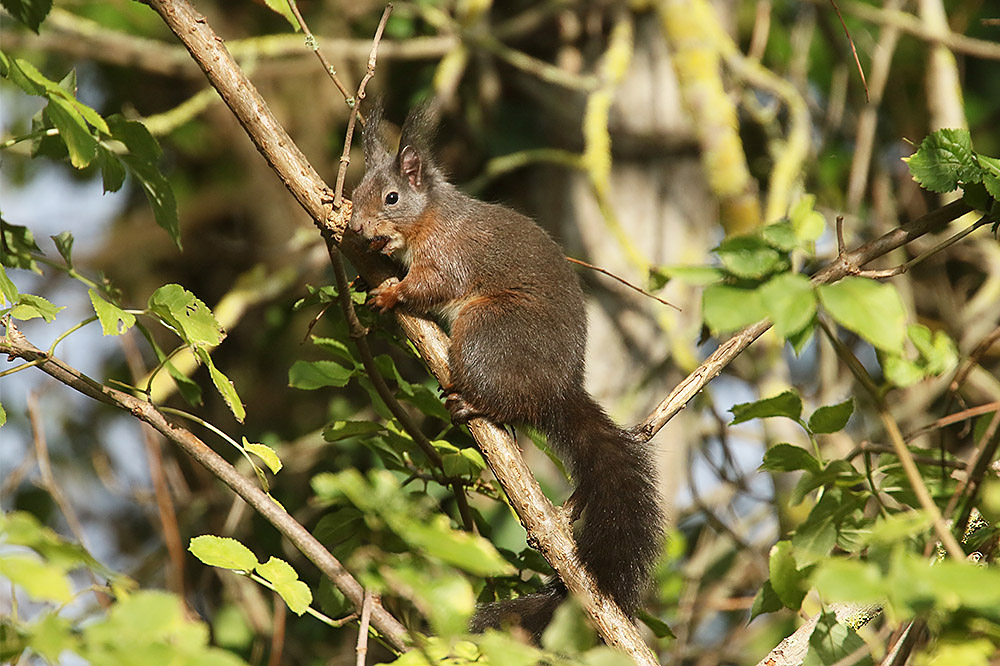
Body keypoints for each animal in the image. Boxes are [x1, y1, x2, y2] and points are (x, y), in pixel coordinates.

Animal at [348, 106, 668, 636]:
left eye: (391, 197)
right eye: (355, 191)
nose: (355, 226)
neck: (431, 219)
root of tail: (557, 390)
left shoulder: (449, 256)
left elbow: (431, 285)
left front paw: (392, 292)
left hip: (488, 330)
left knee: (503, 398)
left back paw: (472, 402)